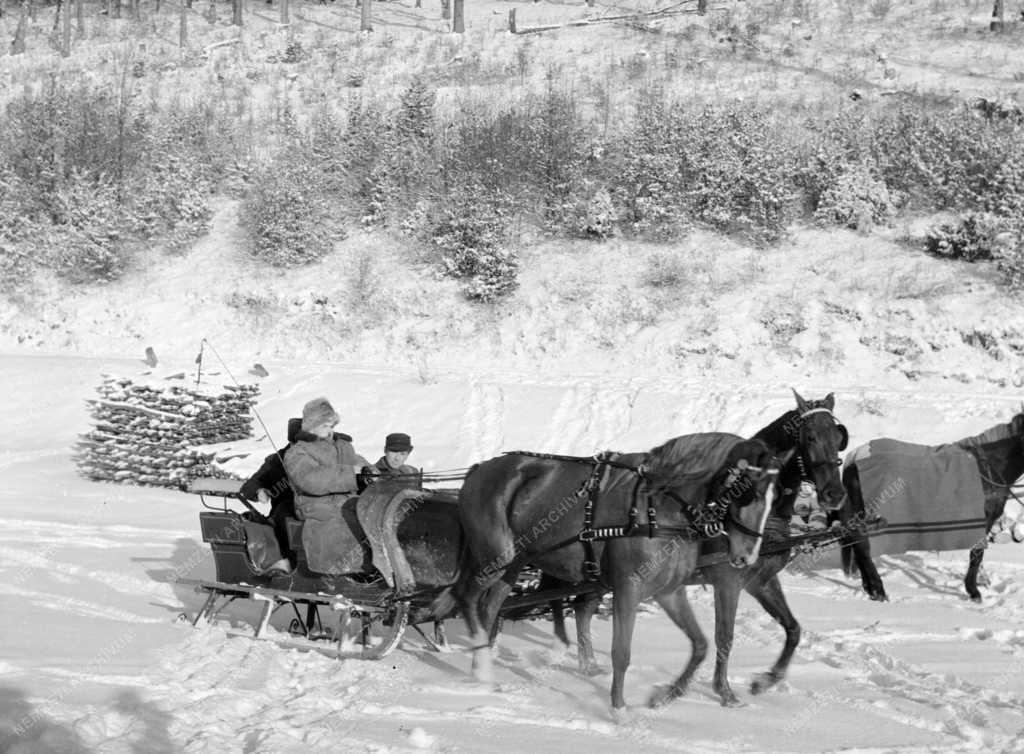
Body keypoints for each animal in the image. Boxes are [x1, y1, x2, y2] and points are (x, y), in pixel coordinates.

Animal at [552, 391, 847, 704]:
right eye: (810, 436)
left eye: (837, 436)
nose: (835, 494)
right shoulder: (728, 581)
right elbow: (724, 637)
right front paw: (724, 692)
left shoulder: (761, 580)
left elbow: (793, 629)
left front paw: (765, 681)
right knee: (582, 608)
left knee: (583, 609)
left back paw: (589, 666)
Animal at [835, 411, 1024, 602]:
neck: (987, 469)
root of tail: (853, 458)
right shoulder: (983, 520)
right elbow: (976, 554)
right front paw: (973, 590)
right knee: (863, 547)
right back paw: (878, 590)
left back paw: (870, 589)